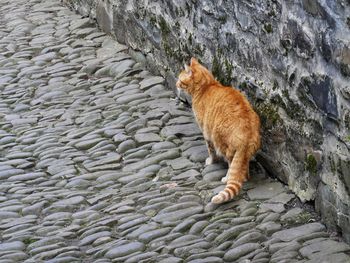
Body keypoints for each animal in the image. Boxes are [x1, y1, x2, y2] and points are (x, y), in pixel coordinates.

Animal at [178, 57, 260, 205]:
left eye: (180, 80)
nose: (176, 84)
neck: (207, 86)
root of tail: (247, 135)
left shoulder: (206, 132)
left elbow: (210, 151)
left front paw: (210, 161)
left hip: (221, 142)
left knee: (231, 165)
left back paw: (227, 178)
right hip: (244, 153)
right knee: (242, 169)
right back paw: (244, 176)